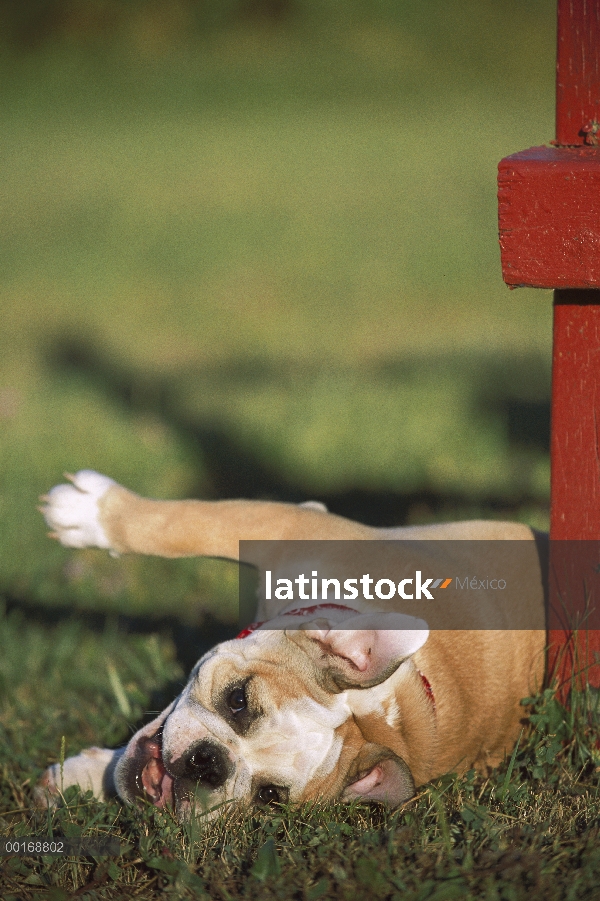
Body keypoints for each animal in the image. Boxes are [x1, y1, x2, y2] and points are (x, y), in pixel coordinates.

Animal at [35, 472, 548, 816]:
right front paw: (90, 512)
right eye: (238, 700)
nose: (210, 766)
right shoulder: (281, 526)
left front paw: (80, 775)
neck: (383, 709)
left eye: (268, 798)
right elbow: (183, 523)